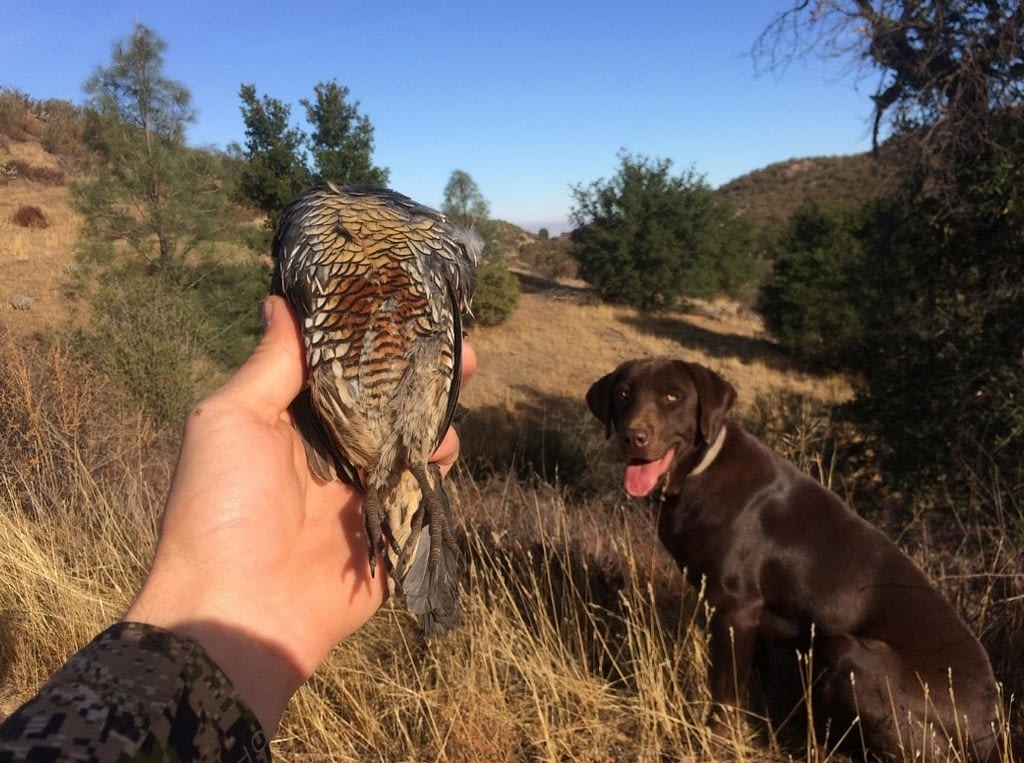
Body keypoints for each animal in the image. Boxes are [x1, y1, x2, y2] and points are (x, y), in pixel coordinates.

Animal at [589, 358, 995, 761]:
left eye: (673, 396)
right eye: (623, 393)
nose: (633, 436)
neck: (700, 470)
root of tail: (993, 729)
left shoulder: (735, 607)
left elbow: (724, 688)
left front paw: (715, 740)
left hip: (849, 654)